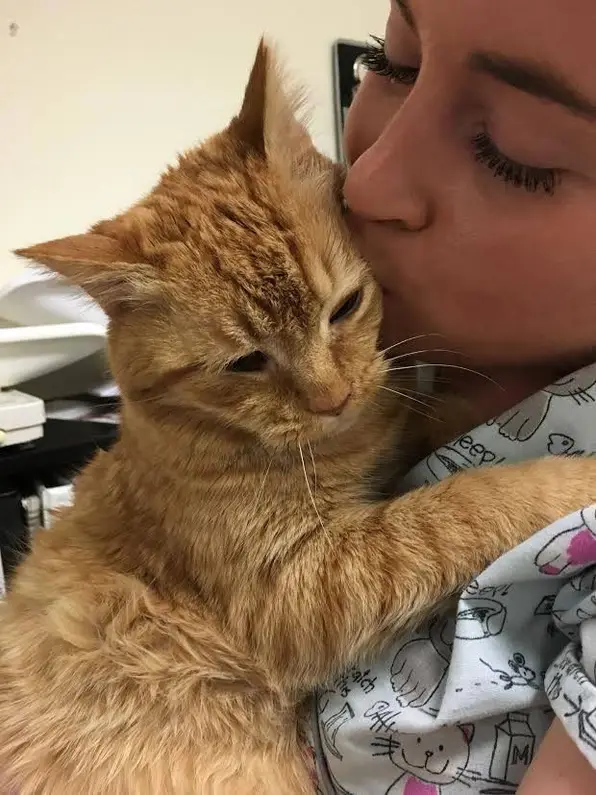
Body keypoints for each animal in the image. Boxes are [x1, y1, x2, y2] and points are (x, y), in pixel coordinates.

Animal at [1, 38, 596, 795]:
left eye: (344, 308)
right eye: (246, 362)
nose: (331, 397)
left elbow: (433, 421)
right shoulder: (301, 585)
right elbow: (459, 504)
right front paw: (570, 481)